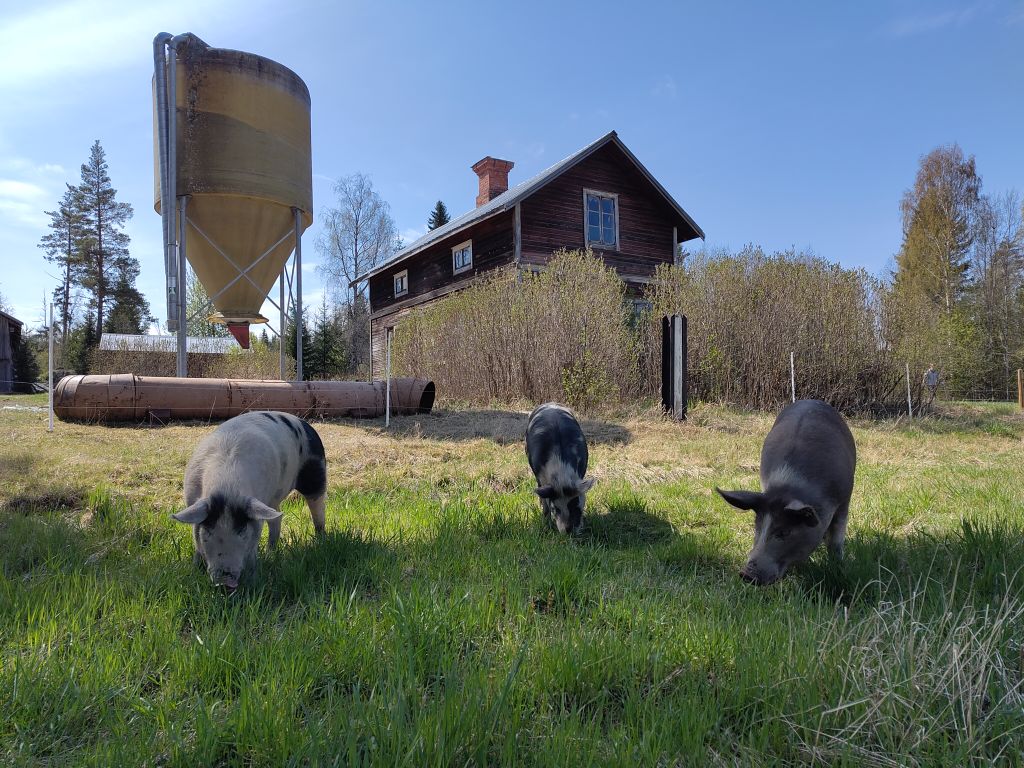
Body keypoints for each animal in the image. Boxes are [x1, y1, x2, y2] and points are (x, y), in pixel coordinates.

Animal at [172, 410, 328, 590]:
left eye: (242, 531)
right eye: (208, 531)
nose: (224, 582)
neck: (227, 486)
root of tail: (304, 423)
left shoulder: (255, 512)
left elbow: (253, 546)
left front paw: (253, 579)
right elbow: (197, 545)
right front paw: (194, 571)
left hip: (316, 472)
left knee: (318, 510)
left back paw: (321, 542)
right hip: (271, 502)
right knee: (277, 518)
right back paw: (270, 554)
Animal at [525, 402, 595, 534]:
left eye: (575, 504)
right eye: (555, 509)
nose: (568, 530)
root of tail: (550, 403)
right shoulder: (541, 479)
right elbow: (546, 505)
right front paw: (546, 526)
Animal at [716, 399, 855, 585]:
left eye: (784, 532)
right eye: (757, 527)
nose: (746, 574)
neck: (789, 487)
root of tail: (810, 400)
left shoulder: (844, 500)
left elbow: (836, 542)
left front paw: (838, 566)